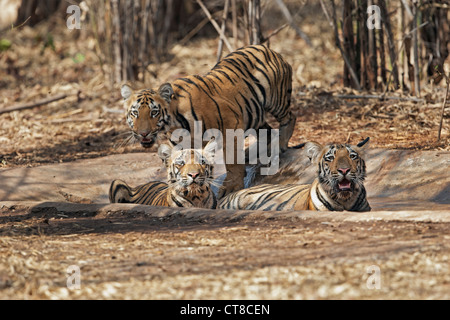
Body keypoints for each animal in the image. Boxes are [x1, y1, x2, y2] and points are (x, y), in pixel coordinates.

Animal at [120, 43, 296, 196]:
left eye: (154, 112)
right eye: (134, 113)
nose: (143, 133)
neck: (174, 125)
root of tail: (270, 49)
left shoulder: (231, 124)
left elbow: (232, 160)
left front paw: (231, 186)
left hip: (276, 100)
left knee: (290, 117)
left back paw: (280, 145)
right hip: (254, 115)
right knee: (267, 131)